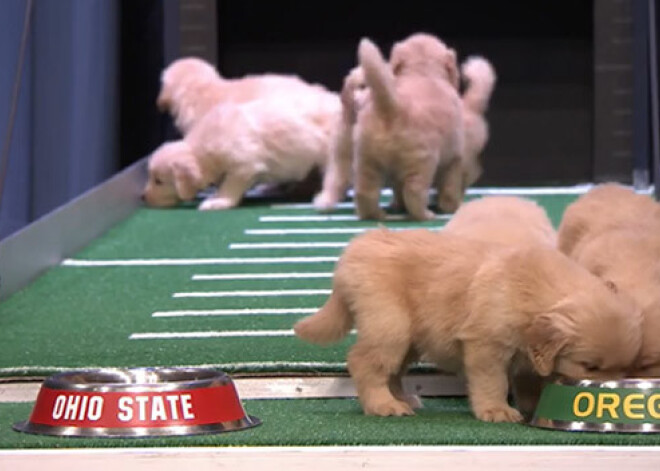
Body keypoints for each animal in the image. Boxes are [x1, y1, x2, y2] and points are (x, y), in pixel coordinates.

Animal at [294, 229, 640, 424]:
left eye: (626, 369)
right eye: (590, 367)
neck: (529, 287)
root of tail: (355, 247)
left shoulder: (529, 356)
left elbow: (529, 382)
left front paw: (532, 407)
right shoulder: (486, 346)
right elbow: (493, 382)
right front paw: (497, 411)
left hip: (410, 337)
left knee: (392, 368)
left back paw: (402, 399)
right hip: (390, 325)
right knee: (364, 362)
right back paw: (383, 405)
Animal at [350, 34, 464, 222]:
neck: (422, 73)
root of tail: (392, 109)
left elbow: (397, 188)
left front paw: (398, 205)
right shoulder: (454, 157)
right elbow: (450, 186)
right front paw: (452, 207)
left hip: (366, 158)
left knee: (365, 191)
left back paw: (375, 215)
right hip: (423, 161)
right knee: (414, 192)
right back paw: (425, 214)